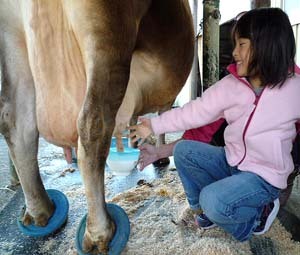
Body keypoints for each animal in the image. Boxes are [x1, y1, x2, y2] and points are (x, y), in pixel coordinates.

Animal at [0, 0, 193, 253]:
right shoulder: (166, 99)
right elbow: (160, 120)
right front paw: (159, 156)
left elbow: (136, 122)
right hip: (108, 34)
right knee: (93, 123)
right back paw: (102, 232)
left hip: (12, 38)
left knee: (16, 123)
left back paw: (43, 211)